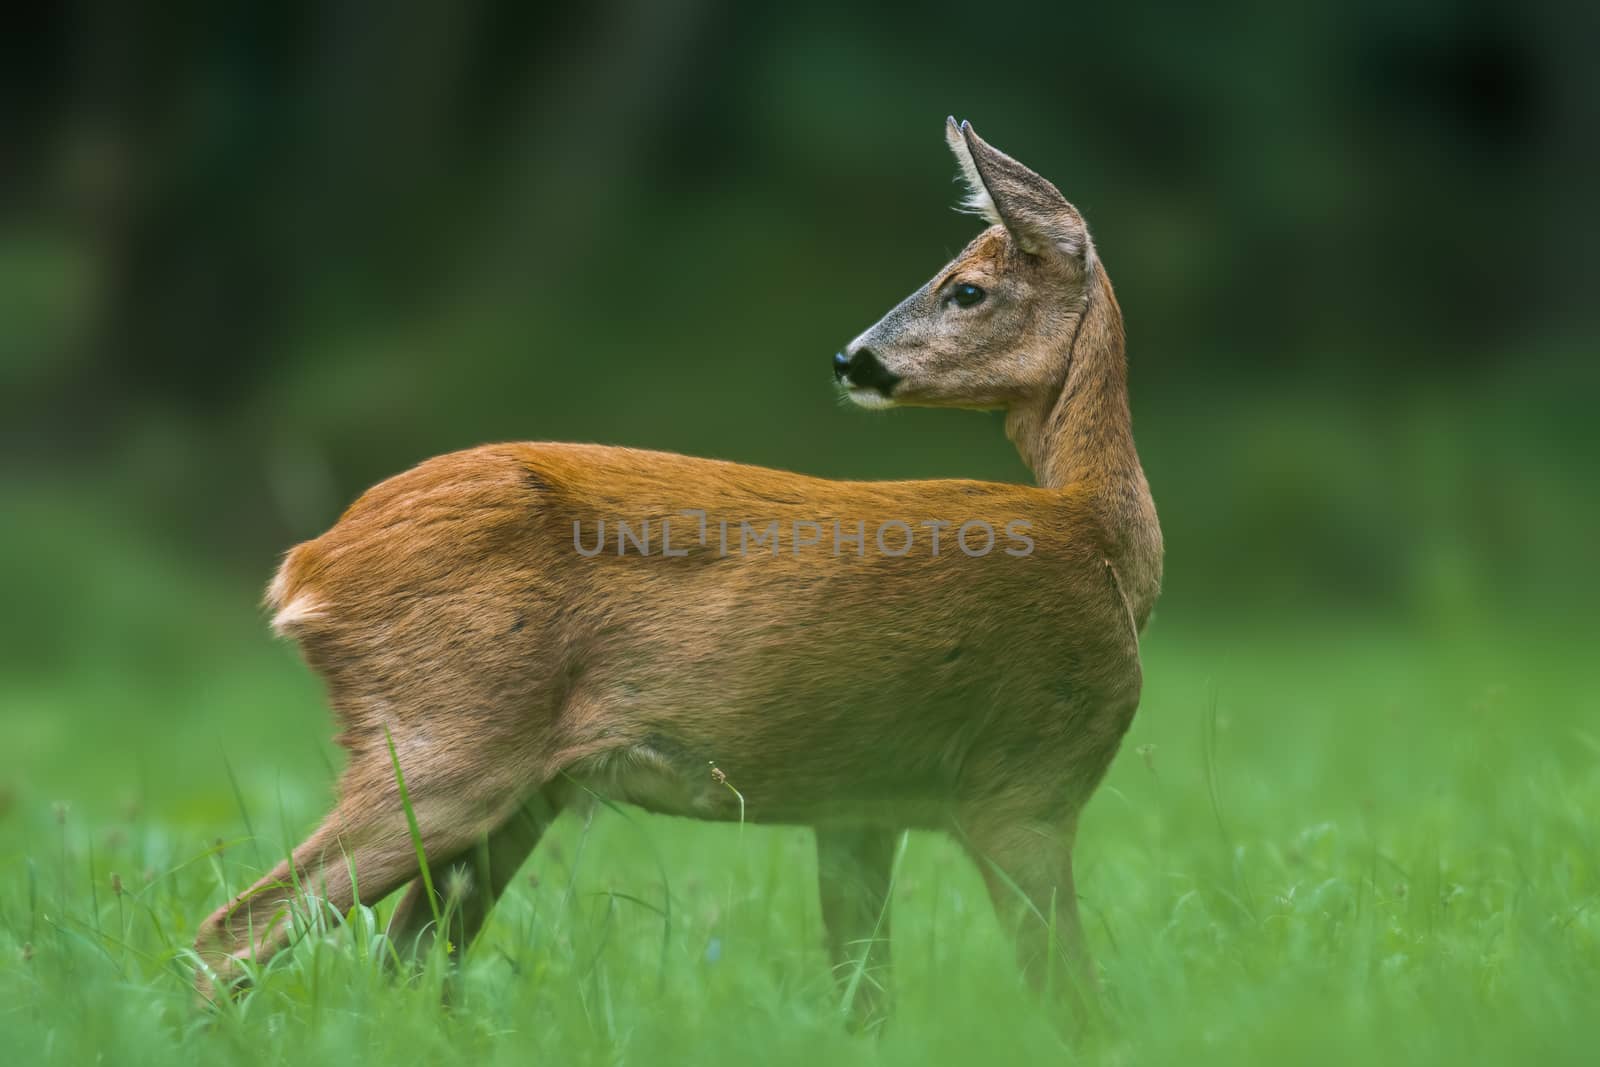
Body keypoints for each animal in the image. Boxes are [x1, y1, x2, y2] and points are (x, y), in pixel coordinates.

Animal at [193, 116, 1164, 1023]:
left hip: (515, 790)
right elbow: (1074, 999)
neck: (1106, 545)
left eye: (966, 289)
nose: (850, 358)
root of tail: (305, 568)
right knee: (233, 934)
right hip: (446, 741)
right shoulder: (1027, 779)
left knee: (402, 961)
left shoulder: (859, 804)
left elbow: (864, 994)